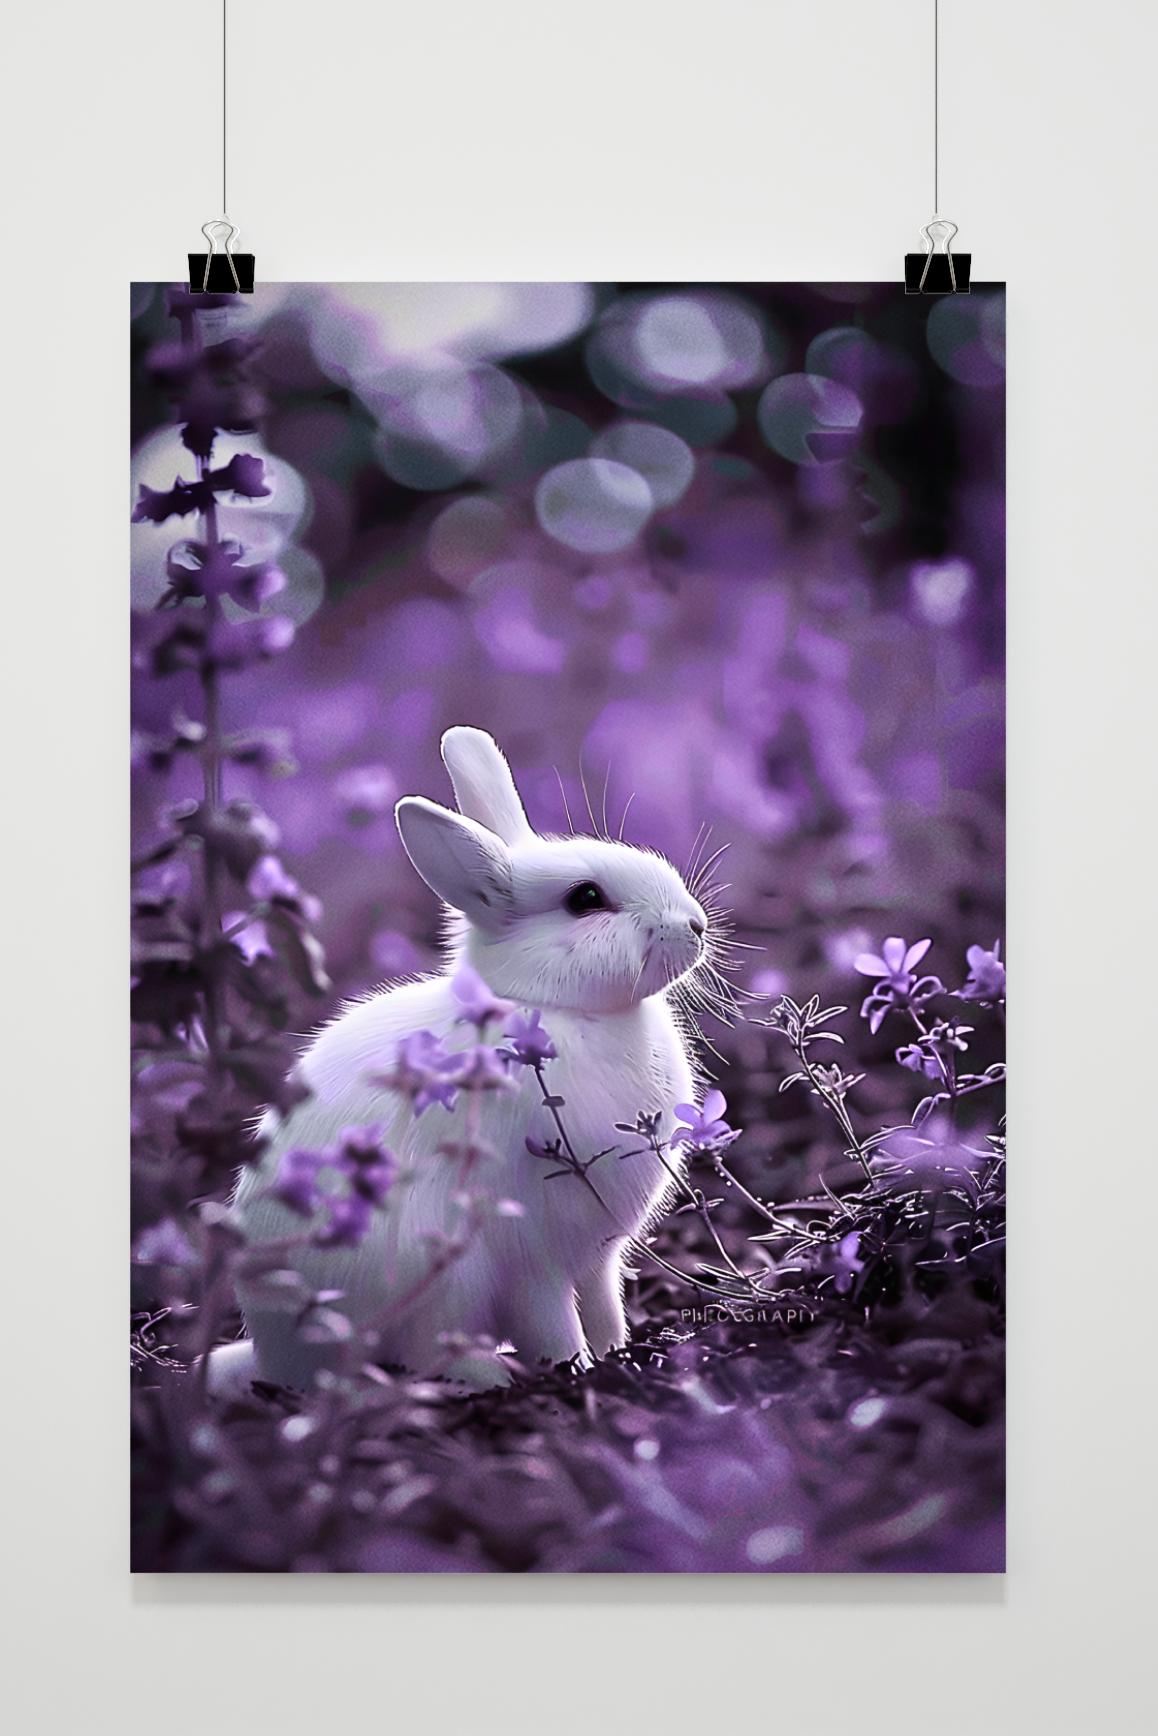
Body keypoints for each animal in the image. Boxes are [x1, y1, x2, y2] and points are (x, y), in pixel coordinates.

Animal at [226, 726, 710, 1391]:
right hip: (439, 1270)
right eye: (585, 899)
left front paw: (622, 1352)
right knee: (423, 1353)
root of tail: (275, 1356)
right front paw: (578, 1369)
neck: (552, 1008)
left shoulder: (597, 1256)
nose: (696, 925)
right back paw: (490, 1373)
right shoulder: (532, 1257)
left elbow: (603, 1302)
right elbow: (552, 1320)